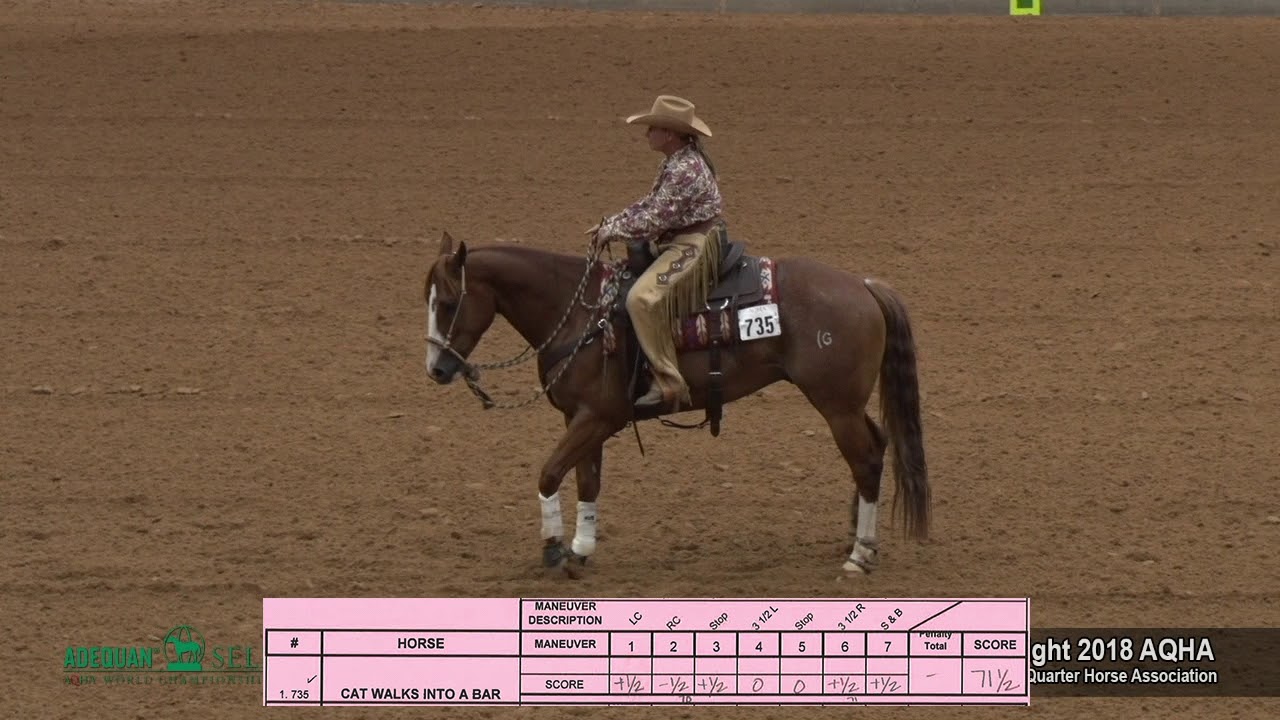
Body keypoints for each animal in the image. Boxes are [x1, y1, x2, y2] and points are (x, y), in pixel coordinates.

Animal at [422, 229, 931, 576]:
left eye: (446, 302)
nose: (436, 370)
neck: (582, 314)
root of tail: (864, 286)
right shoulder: (581, 419)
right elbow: (588, 482)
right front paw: (581, 549)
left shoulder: (597, 417)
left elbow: (550, 473)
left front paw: (552, 548)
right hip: (847, 405)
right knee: (878, 445)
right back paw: (856, 536)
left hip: (836, 406)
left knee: (865, 459)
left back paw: (859, 554)